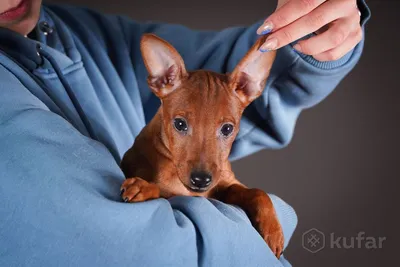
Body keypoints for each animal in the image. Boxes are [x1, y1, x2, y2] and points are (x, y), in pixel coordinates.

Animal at [120, 33, 282, 258]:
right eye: (180, 124)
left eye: (227, 129)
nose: (201, 180)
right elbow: (163, 192)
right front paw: (143, 187)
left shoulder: (226, 188)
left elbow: (258, 192)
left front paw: (273, 230)